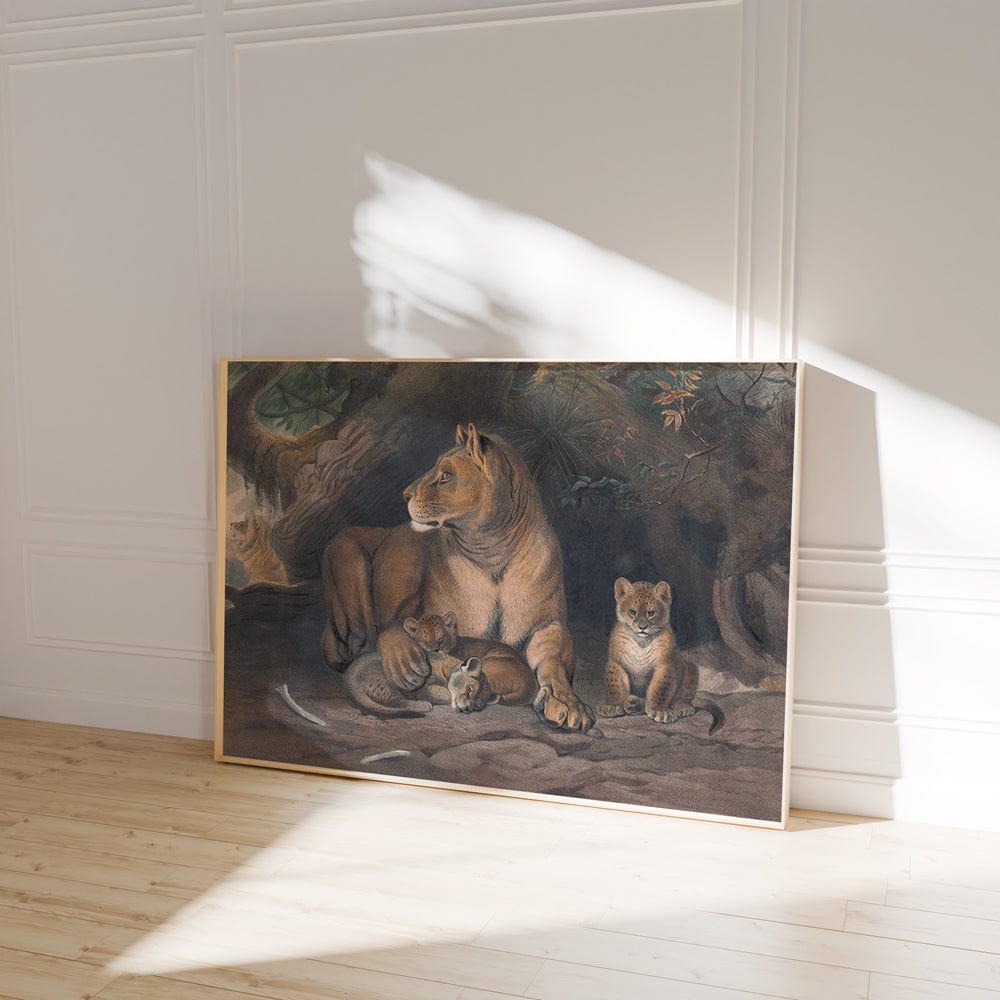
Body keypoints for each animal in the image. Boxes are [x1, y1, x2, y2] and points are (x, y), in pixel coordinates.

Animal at [320, 423, 594, 731]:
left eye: (446, 476)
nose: (405, 494)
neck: (491, 550)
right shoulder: (418, 610)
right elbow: (398, 627)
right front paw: (407, 662)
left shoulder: (549, 625)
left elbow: (552, 663)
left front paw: (567, 703)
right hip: (344, 547)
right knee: (359, 637)